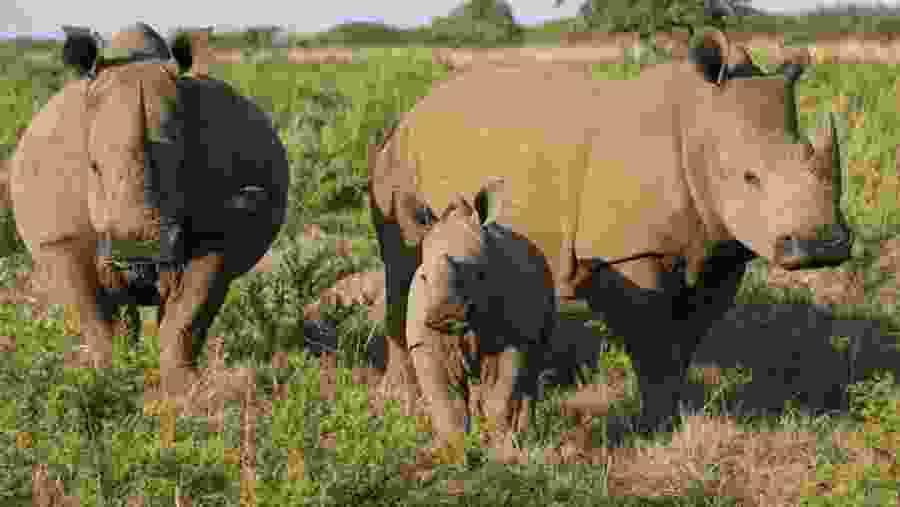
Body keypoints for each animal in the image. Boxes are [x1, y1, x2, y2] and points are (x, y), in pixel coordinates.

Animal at [9, 23, 288, 399]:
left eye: (183, 167)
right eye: (93, 168)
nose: (138, 249)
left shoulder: (219, 234)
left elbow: (188, 312)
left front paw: (185, 389)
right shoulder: (62, 238)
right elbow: (97, 315)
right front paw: (110, 380)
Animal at [405, 179, 557, 440]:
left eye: (481, 274)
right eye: (423, 277)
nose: (447, 314)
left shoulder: (513, 336)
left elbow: (499, 396)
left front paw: (504, 445)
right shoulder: (425, 343)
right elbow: (448, 408)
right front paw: (455, 450)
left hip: (545, 274)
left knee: (533, 367)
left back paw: (527, 435)